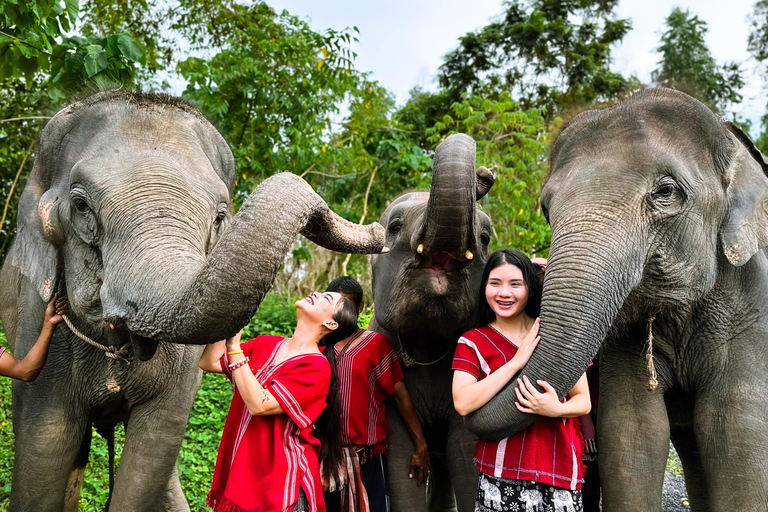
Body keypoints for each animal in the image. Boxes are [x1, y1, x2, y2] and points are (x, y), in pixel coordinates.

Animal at [0, 90, 384, 510]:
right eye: (81, 205)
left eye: (220, 216)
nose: (380, 230)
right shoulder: (36, 328)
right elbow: (43, 450)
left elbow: (154, 450)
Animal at [464, 86, 768, 510]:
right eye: (546, 208)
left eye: (665, 191)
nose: (483, 174)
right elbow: (632, 431)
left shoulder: (751, 308)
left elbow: (734, 433)